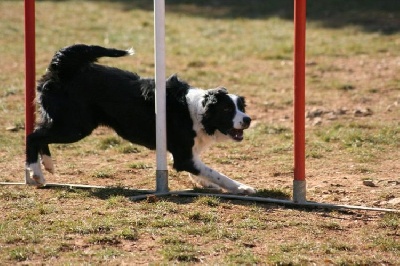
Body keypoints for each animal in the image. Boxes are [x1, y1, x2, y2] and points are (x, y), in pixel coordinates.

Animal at [25, 44, 256, 194]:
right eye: (227, 108)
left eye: (242, 107)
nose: (248, 120)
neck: (197, 110)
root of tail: (61, 70)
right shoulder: (183, 156)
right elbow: (215, 172)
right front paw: (242, 187)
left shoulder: (187, 153)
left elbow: (203, 169)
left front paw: (206, 184)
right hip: (75, 126)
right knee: (33, 136)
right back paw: (36, 173)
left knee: (40, 133)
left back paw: (47, 164)